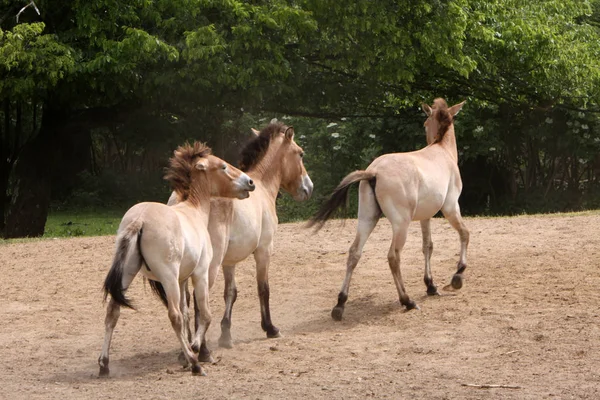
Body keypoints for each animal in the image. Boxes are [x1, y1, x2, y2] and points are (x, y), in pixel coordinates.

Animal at [98, 142, 255, 376]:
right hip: (167, 277)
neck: (194, 211)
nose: (250, 182)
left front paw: (188, 351)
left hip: (129, 272)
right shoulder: (200, 274)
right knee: (174, 316)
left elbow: (188, 311)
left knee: (112, 311)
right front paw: (195, 348)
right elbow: (204, 314)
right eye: (223, 167)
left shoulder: (182, 279)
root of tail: (139, 220)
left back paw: (104, 364)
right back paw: (195, 364)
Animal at [166, 120, 312, 352]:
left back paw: (187, 349)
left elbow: (231, 293)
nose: (308, 188)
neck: (263, 186)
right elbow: (263, 288)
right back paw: (202, 349)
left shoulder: (230, 261)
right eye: (301, 153)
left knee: (185, 303)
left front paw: (226, 335)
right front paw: (270, 328)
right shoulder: (264, 250)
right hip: (209, 265)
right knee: (199, 301)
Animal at [310, 98, 468, 320]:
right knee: (393, 256)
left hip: (367, 219)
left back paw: (340, 304)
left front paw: (431, 286)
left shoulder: (426, 217)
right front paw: (458, 276)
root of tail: (373, 172)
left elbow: (428, 246)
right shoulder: (451, 207)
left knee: (354, 253)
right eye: (425, 124)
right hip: (401, 225)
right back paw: (407, 301)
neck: (441, 151)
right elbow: (464, 233)